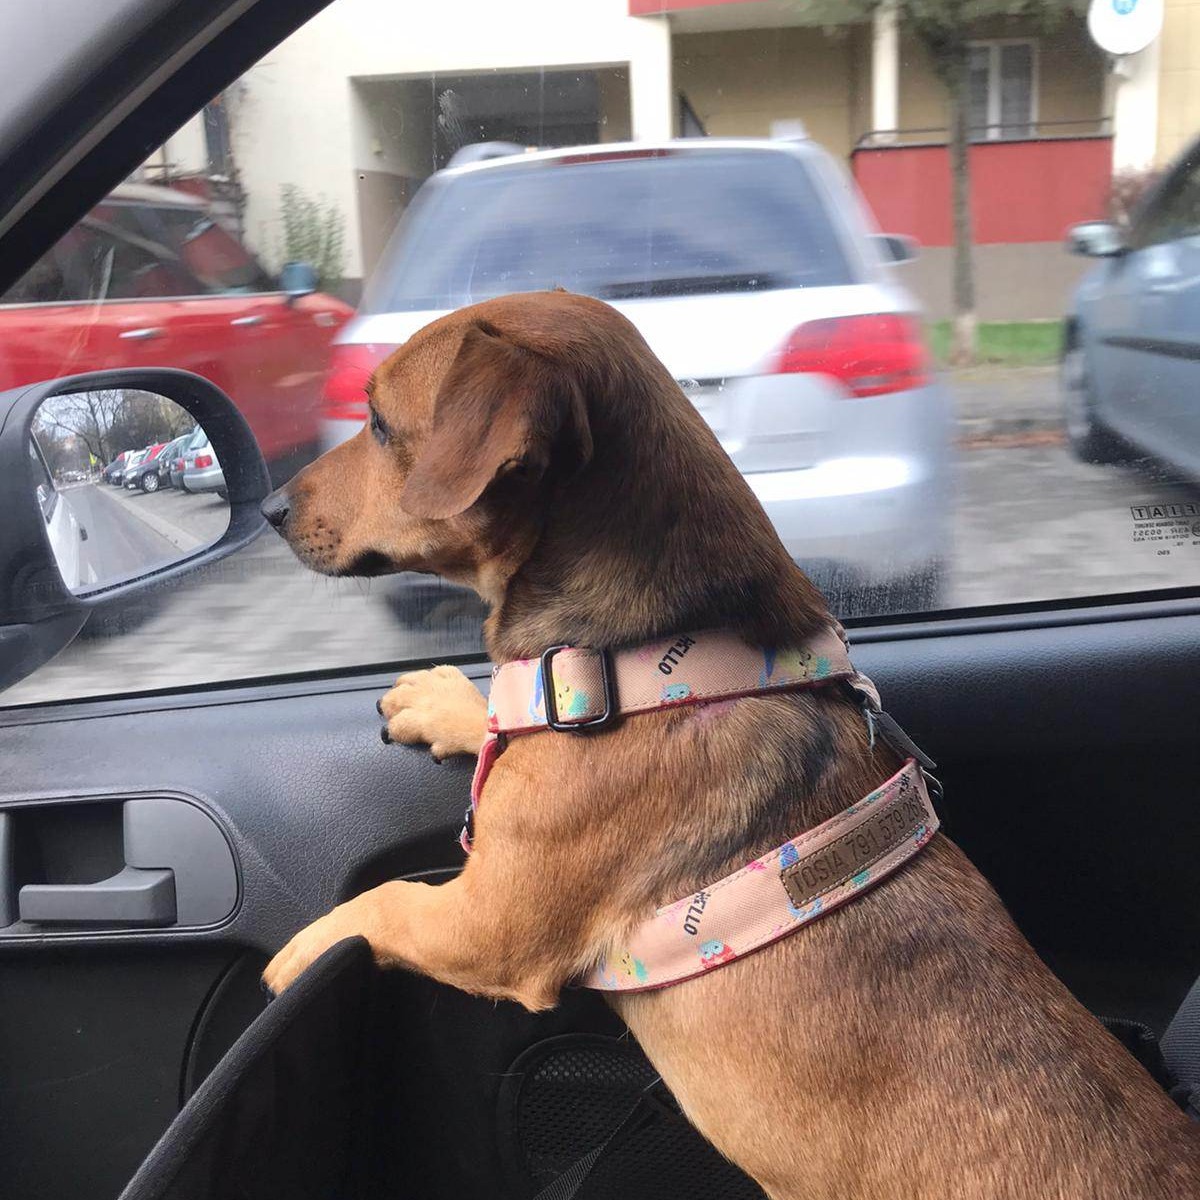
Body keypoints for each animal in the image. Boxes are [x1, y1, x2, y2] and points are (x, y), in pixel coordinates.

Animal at [260, 291, 1200, 1198]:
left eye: (380, 423)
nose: (267, 509)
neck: (641, 663)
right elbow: (494, 707)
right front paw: (442, 699)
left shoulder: (489, 926)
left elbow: (384, 903)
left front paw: (299, 955)